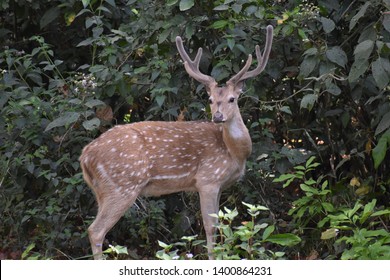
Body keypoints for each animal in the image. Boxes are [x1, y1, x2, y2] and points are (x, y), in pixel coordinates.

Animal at [80, 25, 274, 260]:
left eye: (232, 99)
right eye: (210, 100)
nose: (217, 117)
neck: (235, 153)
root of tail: (85, 157)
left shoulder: (220, 184)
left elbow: (222, 224)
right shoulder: (208, 179)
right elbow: (210, 226)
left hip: (101, 190)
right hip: (122, 185)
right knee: (96, 230)